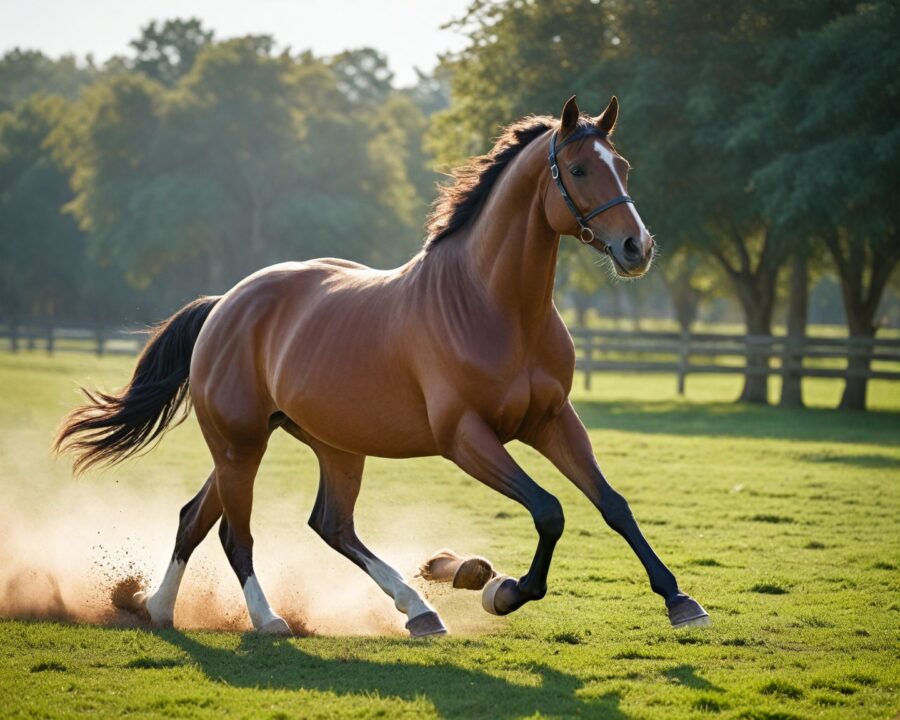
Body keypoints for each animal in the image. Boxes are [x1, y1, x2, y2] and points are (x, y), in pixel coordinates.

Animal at [55, 95, 709, 637]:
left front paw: (680, 601)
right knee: (234, 533)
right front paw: (505, 592)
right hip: (241, 446)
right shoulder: (466, 438)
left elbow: (613, 505)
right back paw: (268, 619)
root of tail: (226, 304)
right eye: (578, 170)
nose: (637, 248)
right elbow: (549, 511)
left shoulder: (551, 421)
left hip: (322, 445)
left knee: (292, 523)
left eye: (622, 166)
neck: (494, 306)